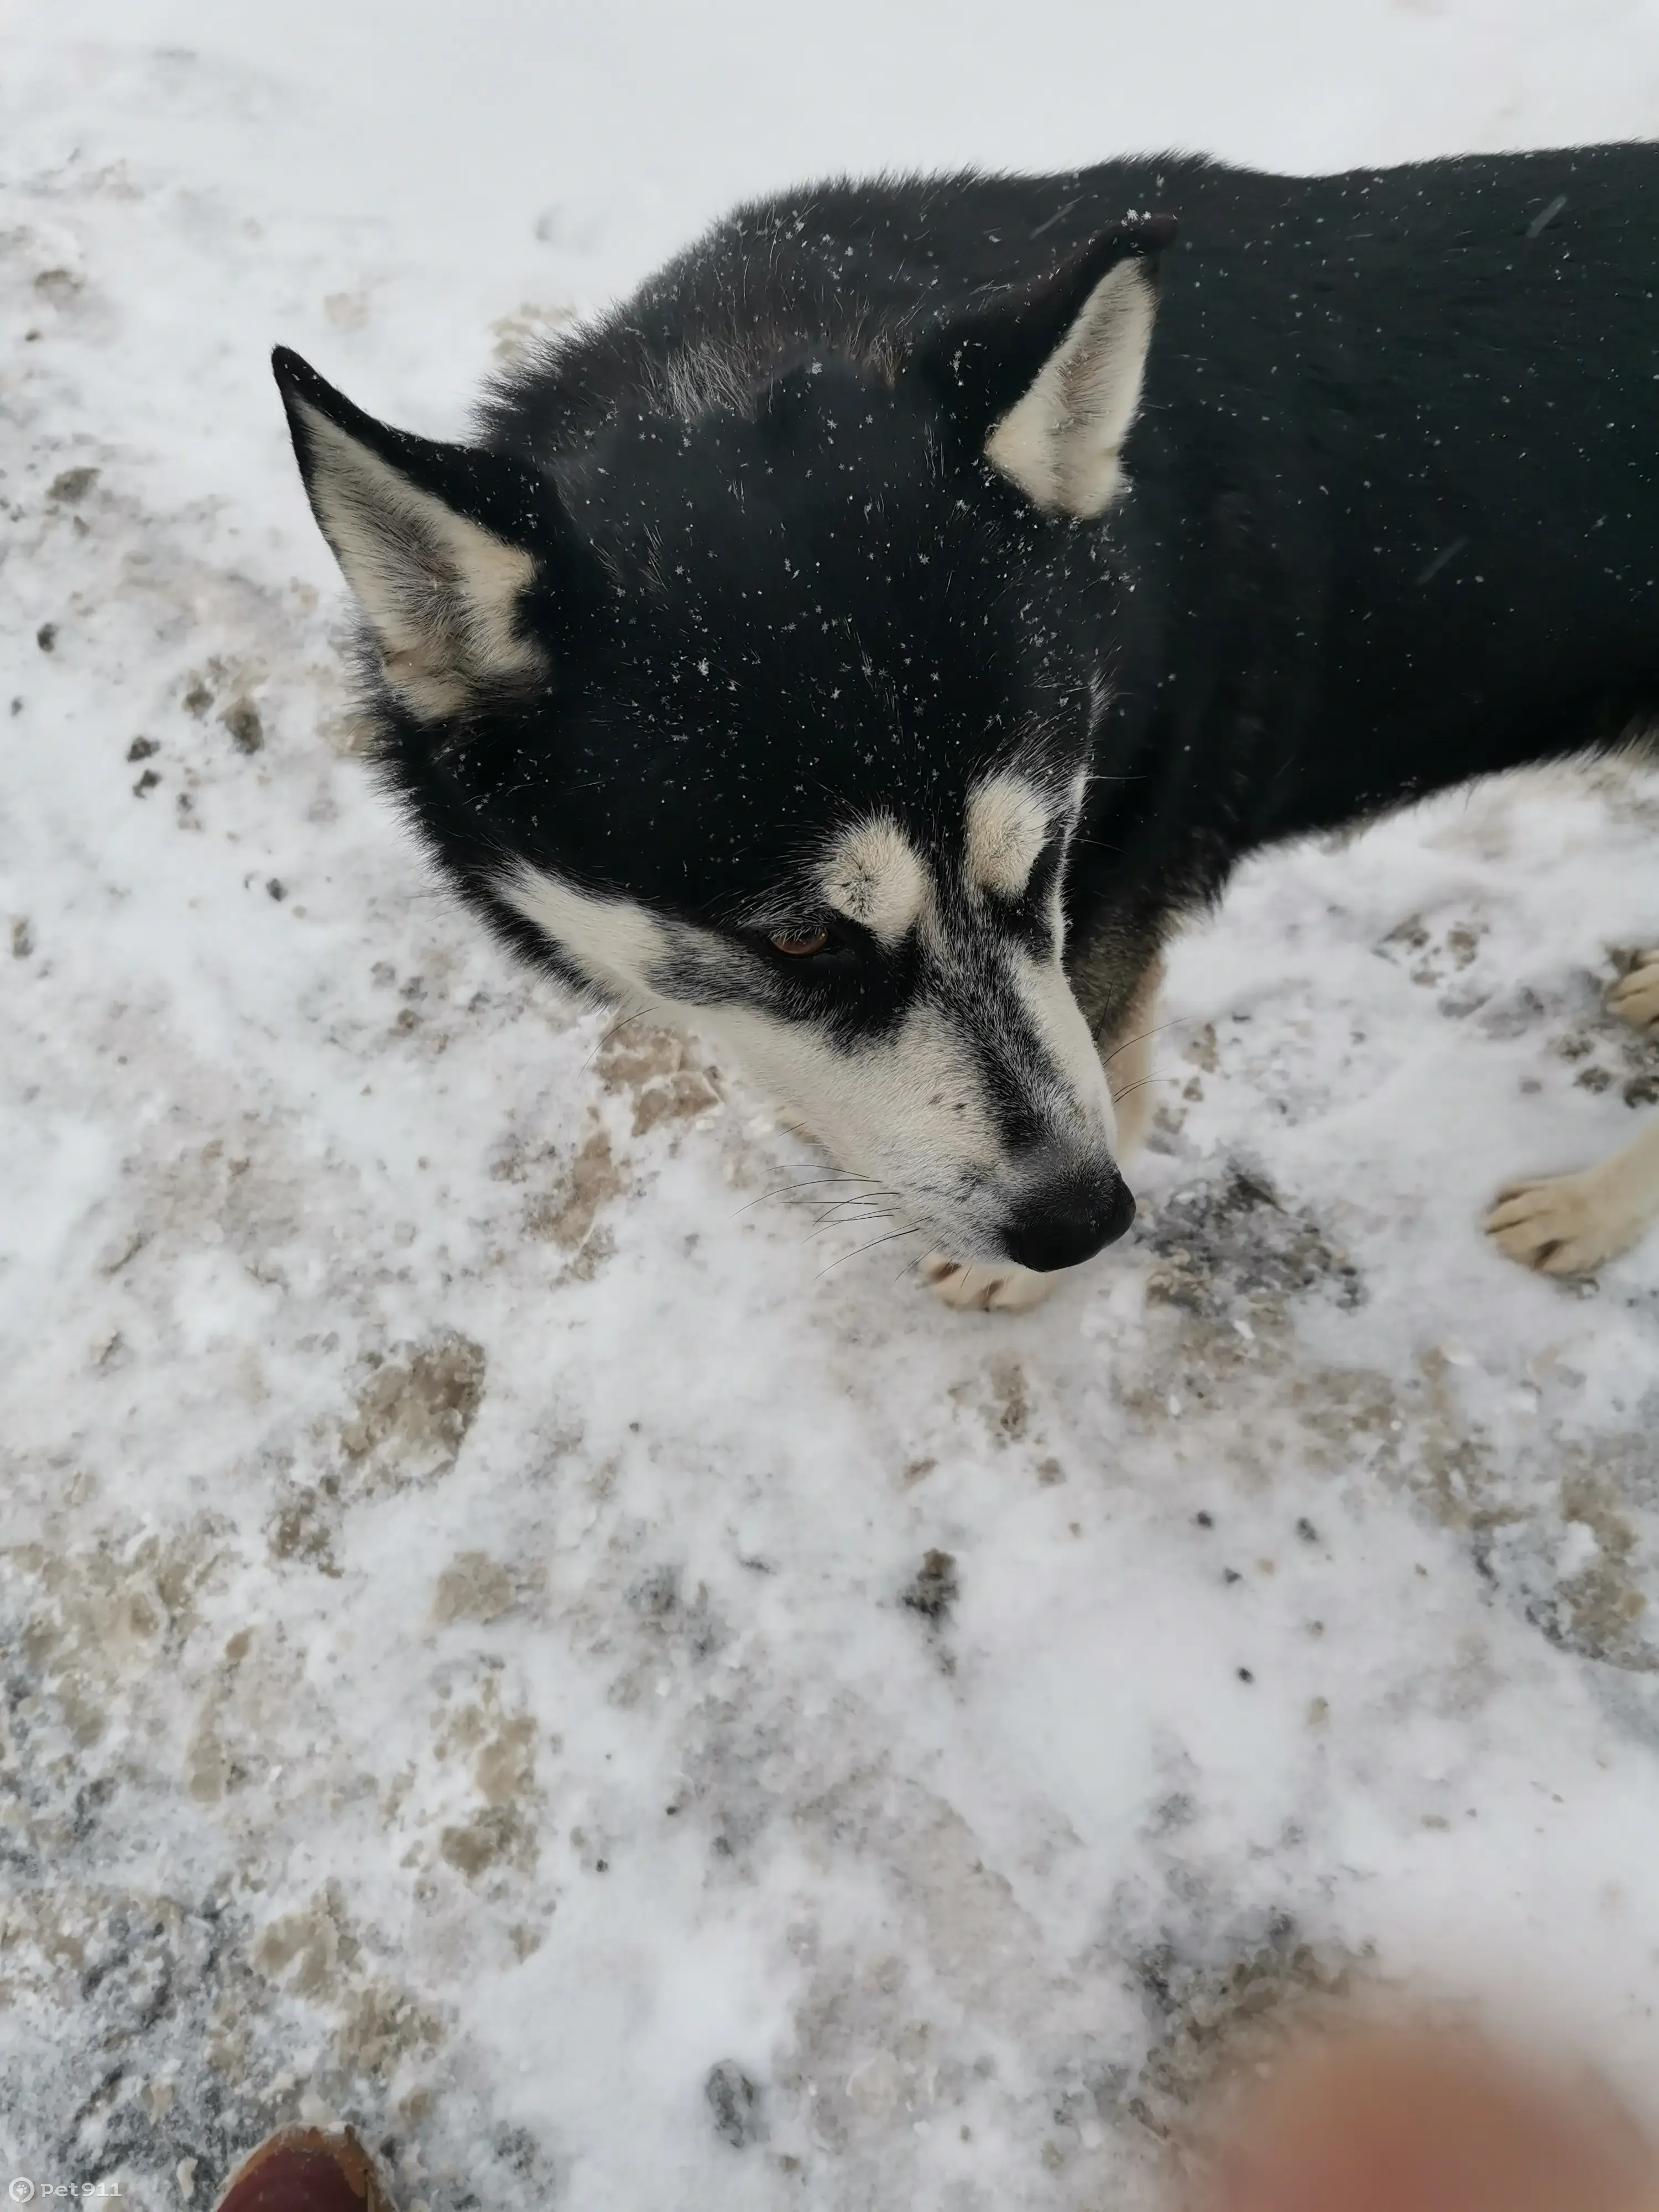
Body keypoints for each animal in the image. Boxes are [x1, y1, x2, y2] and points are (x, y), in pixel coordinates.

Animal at [280, 138, 1659, 1301]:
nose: (1083, 1225)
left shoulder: (1107, 914)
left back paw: (1589, 1211)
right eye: (798, 940)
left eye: (1042, 857)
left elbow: (1112, 1068)